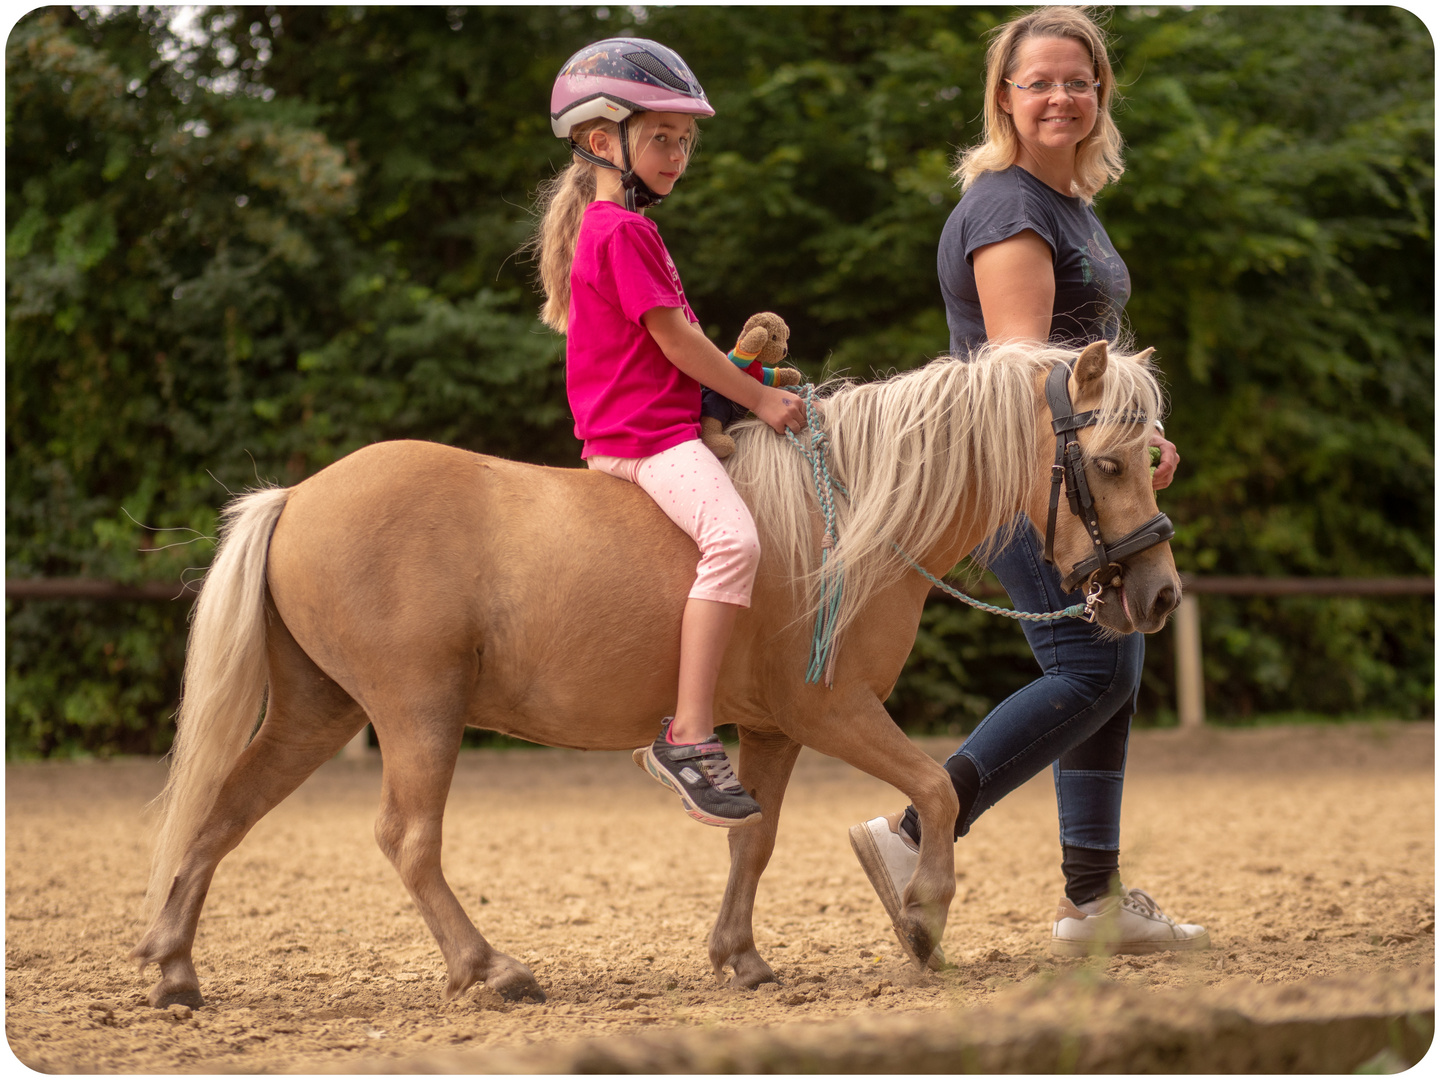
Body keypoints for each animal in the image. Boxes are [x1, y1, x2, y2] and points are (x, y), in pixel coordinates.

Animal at [129, 338, 1175, 1008]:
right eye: (1111, 464)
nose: (1159, 594)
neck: (848, 523)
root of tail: (297, 495)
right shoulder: (833, 709)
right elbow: (938, 788)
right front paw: (921, 921)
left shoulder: (774, 729)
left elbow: (753, 840)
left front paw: (742, 957)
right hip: (416, 713)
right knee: (407, 840)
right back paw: (491, 969)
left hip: (318, 712)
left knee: (223, 812)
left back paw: (177, 970)